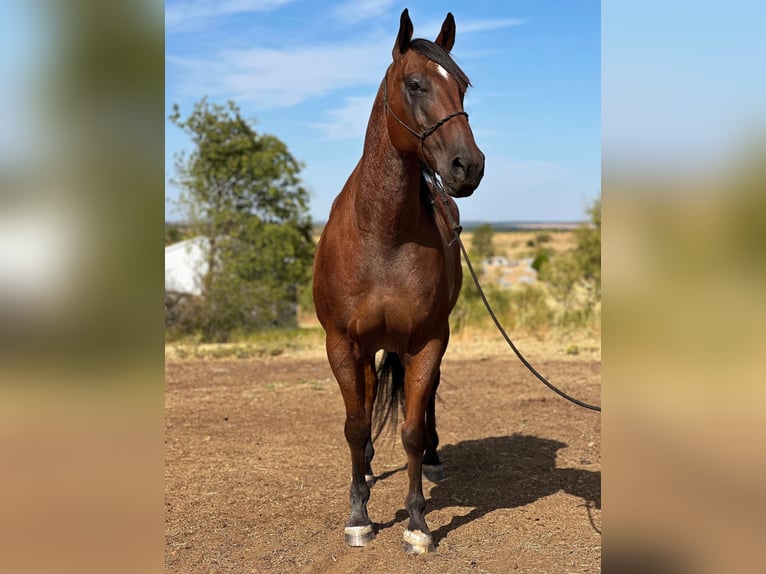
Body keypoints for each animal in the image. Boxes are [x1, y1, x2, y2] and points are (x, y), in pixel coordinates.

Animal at [314, 9, 486, 556]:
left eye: (463, 87)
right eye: (415, 84)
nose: (468, 166)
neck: (382, 235)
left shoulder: (428, 340)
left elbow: (410, 428)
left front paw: (417, 523)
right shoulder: (342, 343)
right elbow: (353, 424)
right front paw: (359, 516)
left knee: (422, 405)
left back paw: (431, 458)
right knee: (368, 399)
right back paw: (368, 467)